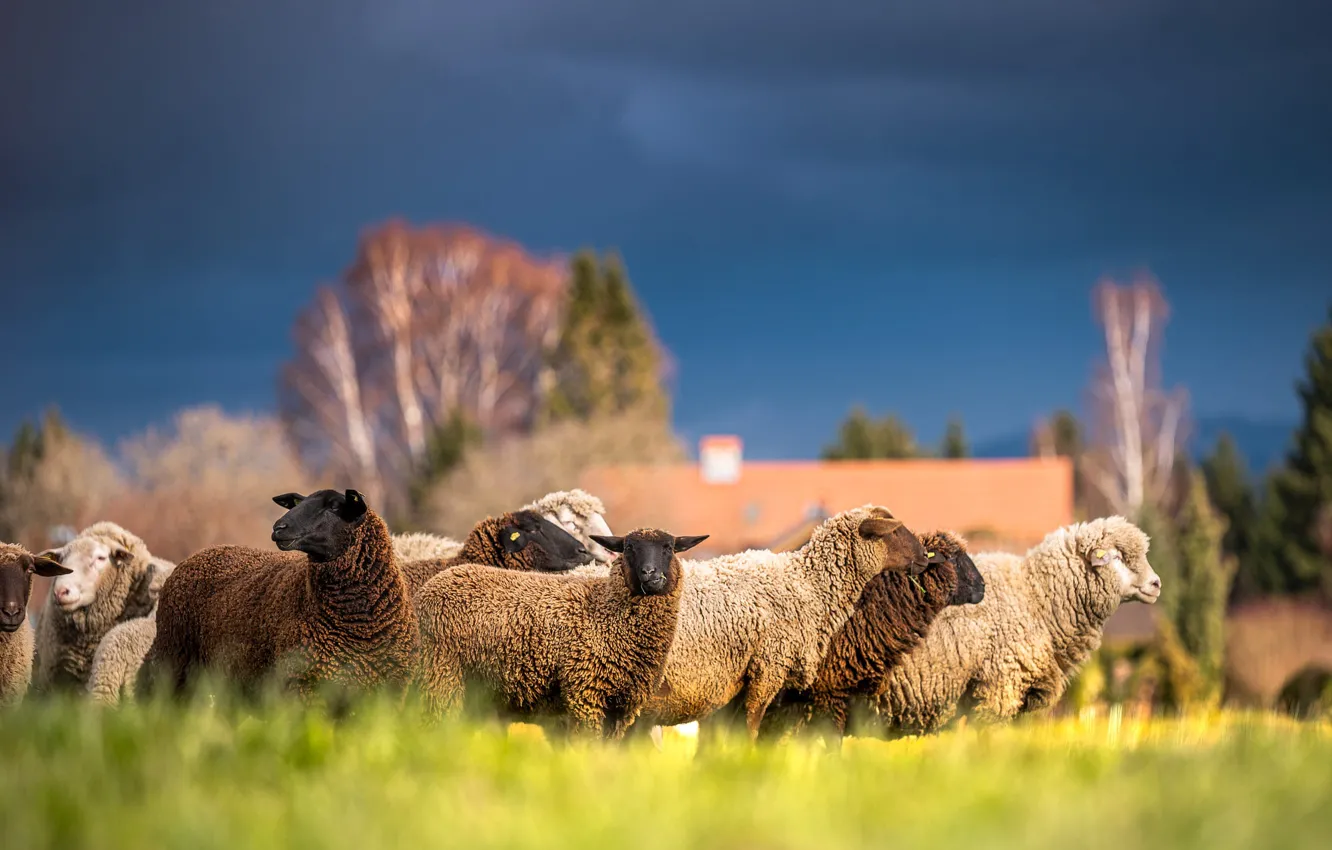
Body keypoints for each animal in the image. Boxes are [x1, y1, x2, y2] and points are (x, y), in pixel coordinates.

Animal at [138, 488, 418, 702]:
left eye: (333, 507)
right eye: (300, 503)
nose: (279, 527)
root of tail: (201, 553)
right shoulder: (303, 688)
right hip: (173, 665)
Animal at [414, 528, 706, 739]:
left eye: (668, 548)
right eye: (628, 548)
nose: (650, 573)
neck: (604, 611)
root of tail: (431, 587)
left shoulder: (622, 706)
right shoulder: (585, 693)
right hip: (441, 674)